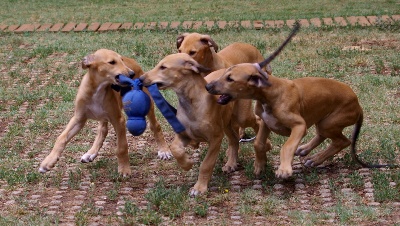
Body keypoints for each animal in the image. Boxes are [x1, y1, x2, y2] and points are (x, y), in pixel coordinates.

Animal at [39, 49, 172, 177]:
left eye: (121, 60)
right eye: (112, 62)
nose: (131, 74)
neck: (97, 90)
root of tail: (133, 61)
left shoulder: (119, 120)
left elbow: (122, 147)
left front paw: (124, 169)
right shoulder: (78, 119)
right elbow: (61, 138)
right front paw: (47, 162)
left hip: (147, 103)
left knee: (155, 125)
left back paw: (164, 150)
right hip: (103, 116)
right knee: (102, 130)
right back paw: (91, 153)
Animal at [139, 53, 242, 196]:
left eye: (163, 67)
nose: (140, 79)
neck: (192, 103)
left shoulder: (216, 138)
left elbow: (206, 164)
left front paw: (199, 188)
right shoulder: (183, 134)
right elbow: (175, 149)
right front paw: (187, 163)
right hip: (226, 123)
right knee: (234, 139)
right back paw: (231, 163)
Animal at [205, 23, 386, 178]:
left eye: (230, 79)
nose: (208, 86)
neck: (271, 93)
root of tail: (359, 106)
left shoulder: (299, 126)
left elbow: (287, 146)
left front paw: (284, 169)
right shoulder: (266, 123)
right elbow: (258, 143)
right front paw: (260, 165)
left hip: (331, 121)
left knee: (343, 141)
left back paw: (315, 158)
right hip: (324, 121)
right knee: (325, 135)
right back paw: (306, 151)